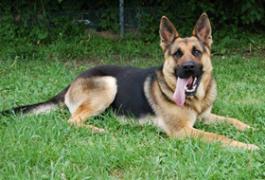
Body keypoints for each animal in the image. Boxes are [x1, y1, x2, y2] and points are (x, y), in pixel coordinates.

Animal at [1, 13, 258, 150]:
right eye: (177, 54)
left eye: (196, 52)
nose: (187, 68)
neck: (194, 100)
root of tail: (73, 81)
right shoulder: (183, 131)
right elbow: (220, 137)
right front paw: (247, 146)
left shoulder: (205, 117)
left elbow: (234, 121)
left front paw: (253, 128)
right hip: (109, 84)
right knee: (72, 121)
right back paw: (100, 130)